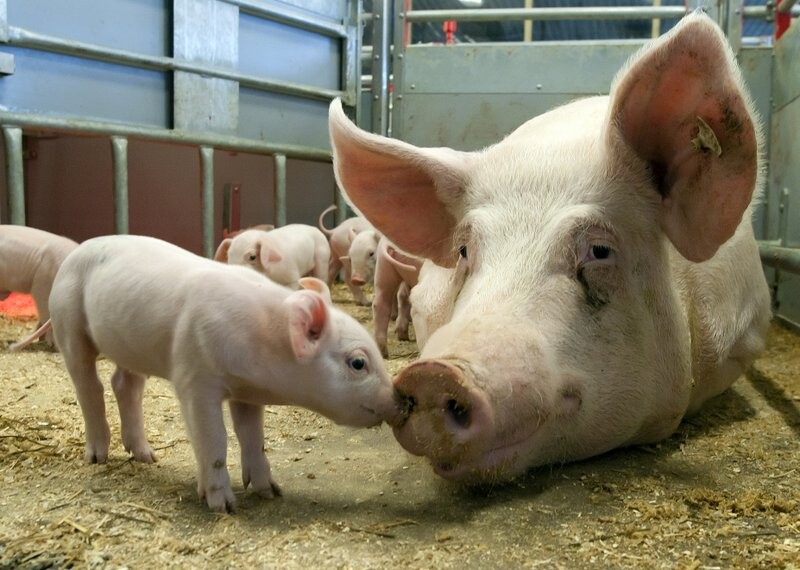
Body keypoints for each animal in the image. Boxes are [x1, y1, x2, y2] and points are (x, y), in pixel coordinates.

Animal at [35, 235, 398, 512]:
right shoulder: (194, 378)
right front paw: (224, 507)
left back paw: (148, 457)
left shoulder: (248, 392)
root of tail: (77, 250)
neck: (264, 341)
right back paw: (98, 458)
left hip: (131, 345)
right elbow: (214, 438)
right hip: (68, 321)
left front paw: (270, 492)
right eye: (358, 363)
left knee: (124, 384)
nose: (400, 400)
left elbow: (252, 437)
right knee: (89, 385)